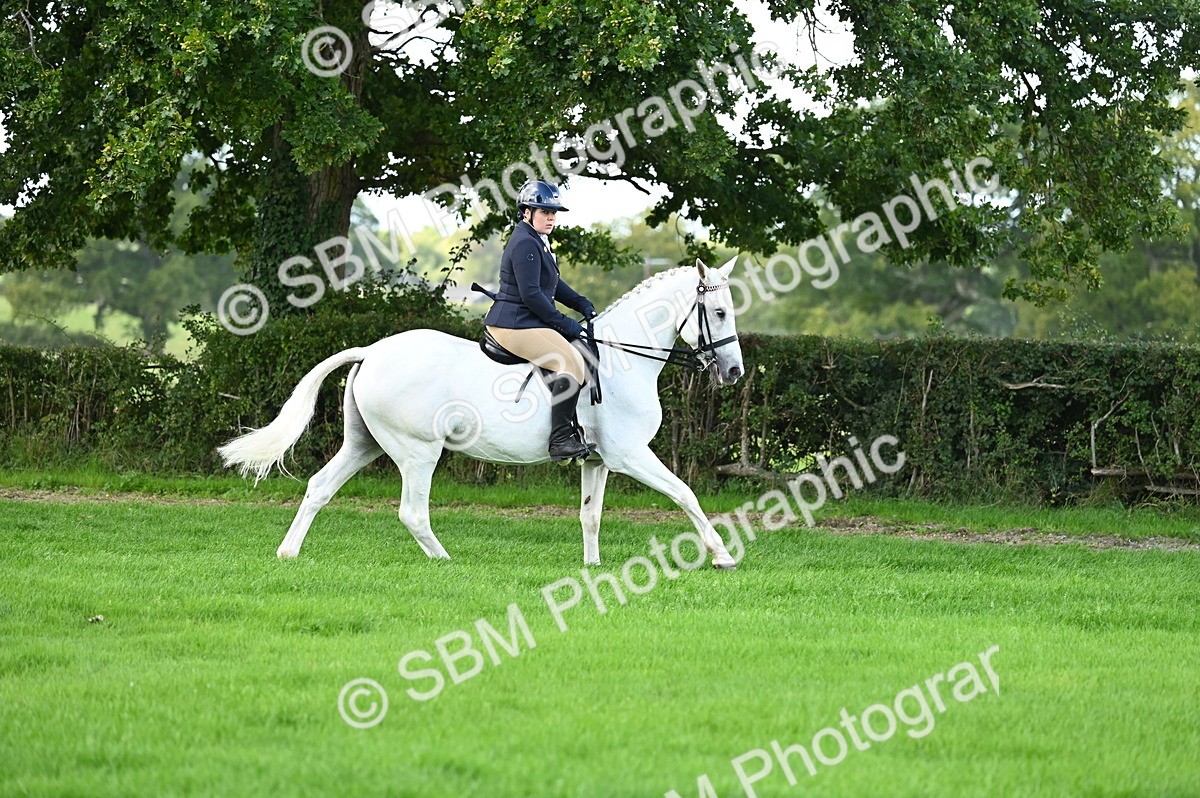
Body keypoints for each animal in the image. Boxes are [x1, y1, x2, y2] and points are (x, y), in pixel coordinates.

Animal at [217, 258, 745, 568]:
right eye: (718, 312)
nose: (735, 371)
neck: (621, 360)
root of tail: (371, 351)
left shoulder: (598, 461)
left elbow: (590, 515)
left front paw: (592, 568)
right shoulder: (631, 455)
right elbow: (686, 494)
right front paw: (721, 555)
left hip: (363, 443)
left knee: (319, 487)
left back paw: (288, 553)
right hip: (418, 451)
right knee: (412, 511)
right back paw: (445, 561)